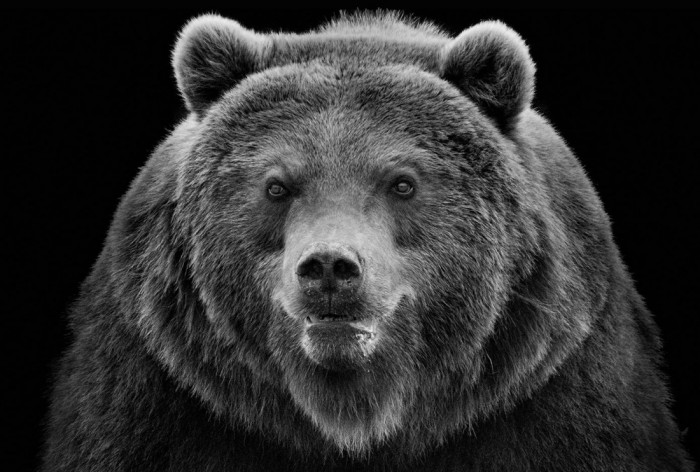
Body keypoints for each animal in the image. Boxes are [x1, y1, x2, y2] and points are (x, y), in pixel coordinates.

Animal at [41, 11, 693, 471]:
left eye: (402, 182)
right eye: (277, 185)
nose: (330, 266)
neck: (356, 418)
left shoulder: (554, 380)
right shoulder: (158, 386)